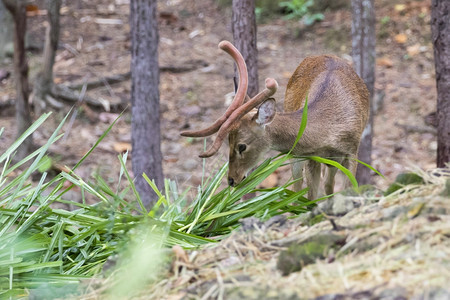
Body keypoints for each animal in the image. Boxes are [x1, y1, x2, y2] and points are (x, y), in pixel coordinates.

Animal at [180, 39, 370, 199]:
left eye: (242, 146)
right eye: (229, 141)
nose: (231, 180)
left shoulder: (352, 151)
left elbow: (349, 188)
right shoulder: (311, 157)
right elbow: (311, 198)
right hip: (297, 156)